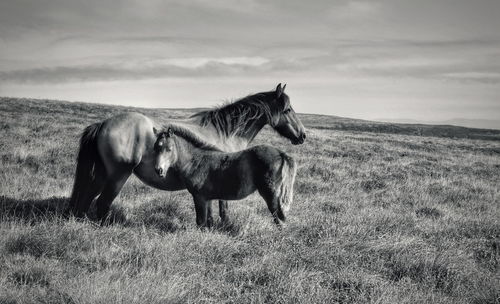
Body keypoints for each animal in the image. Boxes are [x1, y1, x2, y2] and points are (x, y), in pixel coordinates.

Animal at [153, 126, 296, 228]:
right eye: (155, 148)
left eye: (169, 149)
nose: (158, 170)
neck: (195, 162)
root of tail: (281, 154)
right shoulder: (207, 198)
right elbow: (208, 221)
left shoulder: (199, 197)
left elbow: (200, 221)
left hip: (271, 194)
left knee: (279, 218)